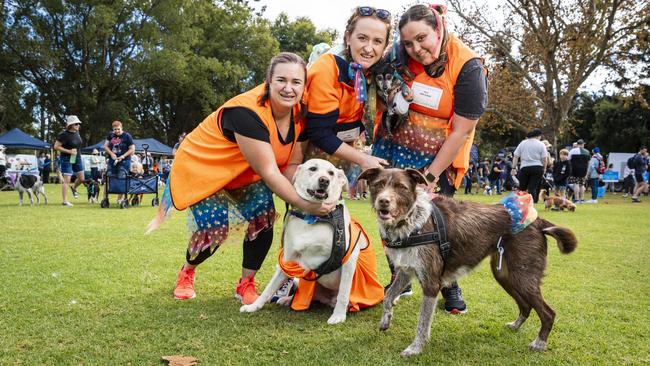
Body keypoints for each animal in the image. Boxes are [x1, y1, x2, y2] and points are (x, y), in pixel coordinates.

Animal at [240, 159, 382, 324]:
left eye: (331, 173)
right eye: (313, 168)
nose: (324, 180)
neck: (312, 219)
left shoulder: (349, 260)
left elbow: (343, 293)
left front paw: (338, 316)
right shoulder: (287, 261)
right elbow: (269, 289)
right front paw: (253, 306)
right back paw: (287, 299)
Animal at [360, 169, 576, 358]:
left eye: (401, 187)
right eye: (378, 185)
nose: (383, 201)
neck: (412, 222)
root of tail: (538, 221)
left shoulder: (431, 283)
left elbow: (422, 323)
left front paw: (415, 348)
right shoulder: (406, 271)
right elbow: (388, 296)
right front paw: (385, 321)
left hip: (523, 276)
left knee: (548, 313)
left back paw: (539, 343)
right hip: (505, 275)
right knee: (525, 306)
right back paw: (516, 325)